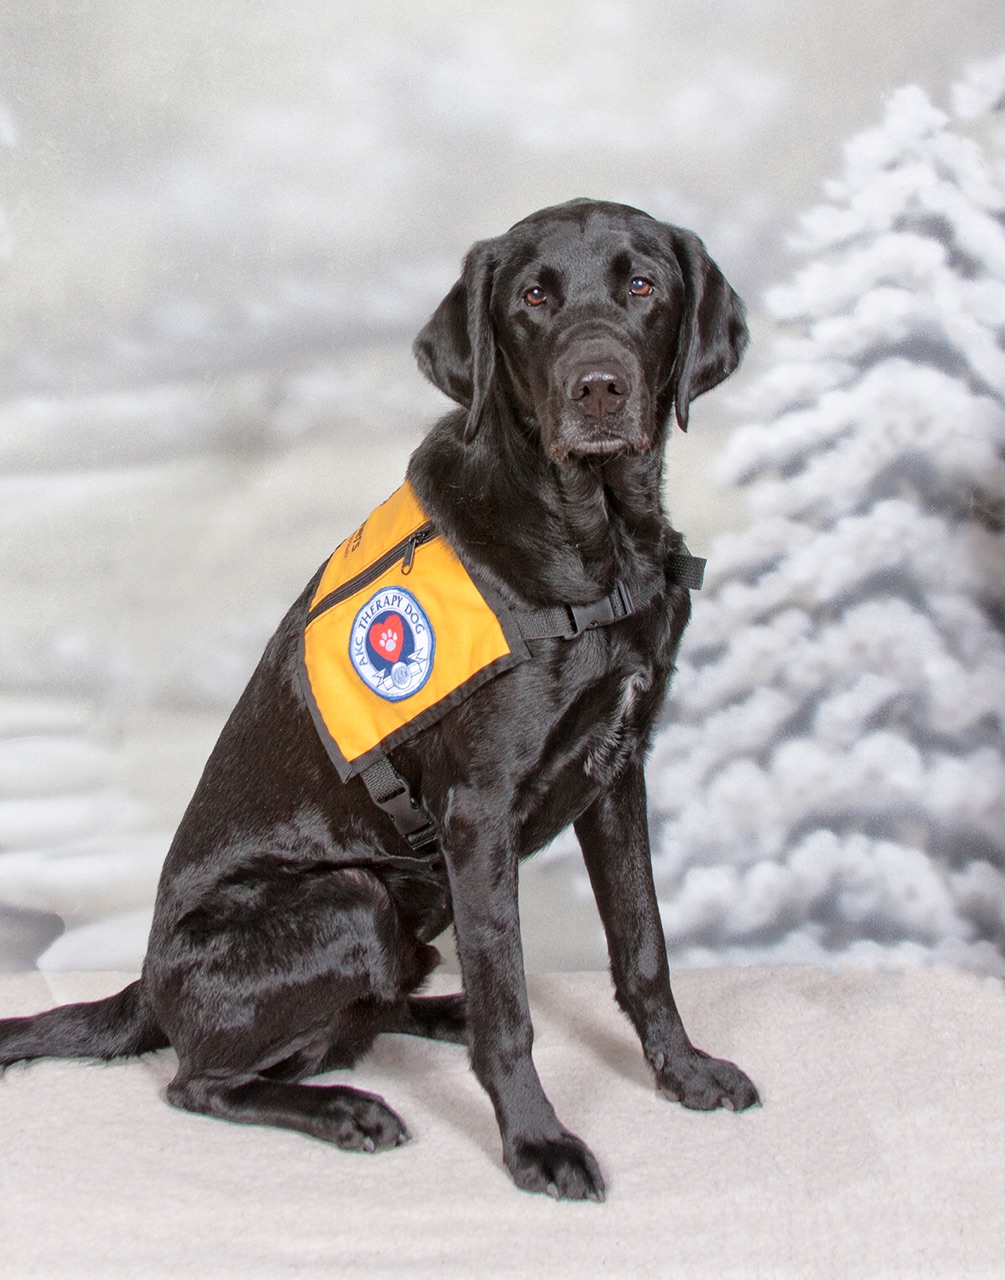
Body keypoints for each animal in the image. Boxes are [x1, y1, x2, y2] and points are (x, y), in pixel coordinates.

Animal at [0, 197, 752, 1198]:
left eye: (641, 285)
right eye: (532, 298)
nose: (597, 387)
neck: (594, 544)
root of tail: (146, 989)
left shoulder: (617, 771)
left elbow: (643, 949)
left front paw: (684, 1073)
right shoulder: (477, 812)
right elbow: (511, 1007)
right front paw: (537, 1144)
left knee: (379, 1003)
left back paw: (434, 1013)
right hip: (351, 898)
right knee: (199, 1080)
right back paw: (346, 1108)